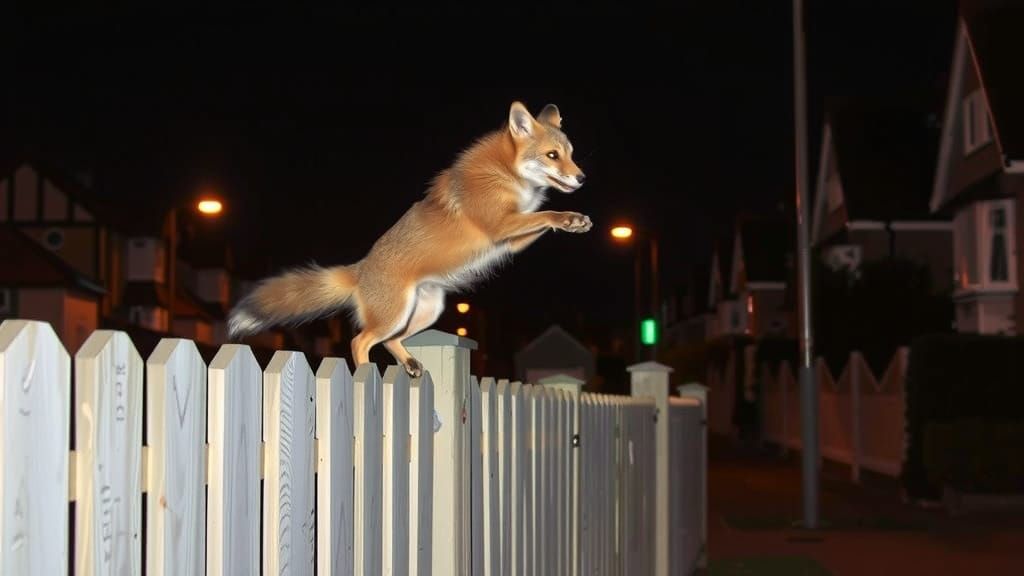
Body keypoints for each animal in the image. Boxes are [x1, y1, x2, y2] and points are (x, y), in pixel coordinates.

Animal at [227, 101, 592, 377]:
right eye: (552, 155)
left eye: (572, 153)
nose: (581, 178)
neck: (505, 174)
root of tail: (361, 269)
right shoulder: (500, 226)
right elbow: (546, 215)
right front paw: (569, 217)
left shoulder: (510, 239)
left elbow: (541, 221)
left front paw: (572, 222)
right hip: (394, 316)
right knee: (360, 341)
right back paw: (366, 372)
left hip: (424, 311)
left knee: (389, 341)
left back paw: (409, 363)